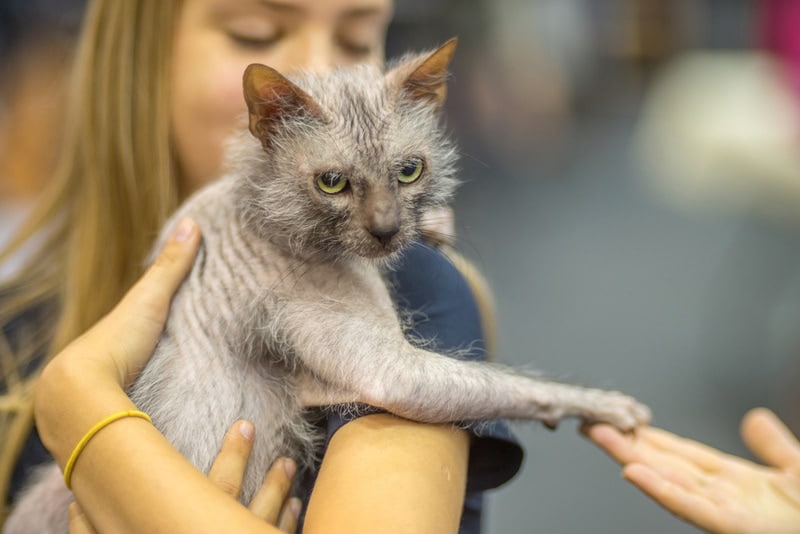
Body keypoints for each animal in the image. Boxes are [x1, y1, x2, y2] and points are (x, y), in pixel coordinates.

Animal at [6, 38, 648, 534]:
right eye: (332, 183)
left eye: (409, 171)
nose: (387, 230)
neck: (258, 208)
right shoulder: (387, 370)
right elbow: (514, 385)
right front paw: (608, 406)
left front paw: (435, 228)